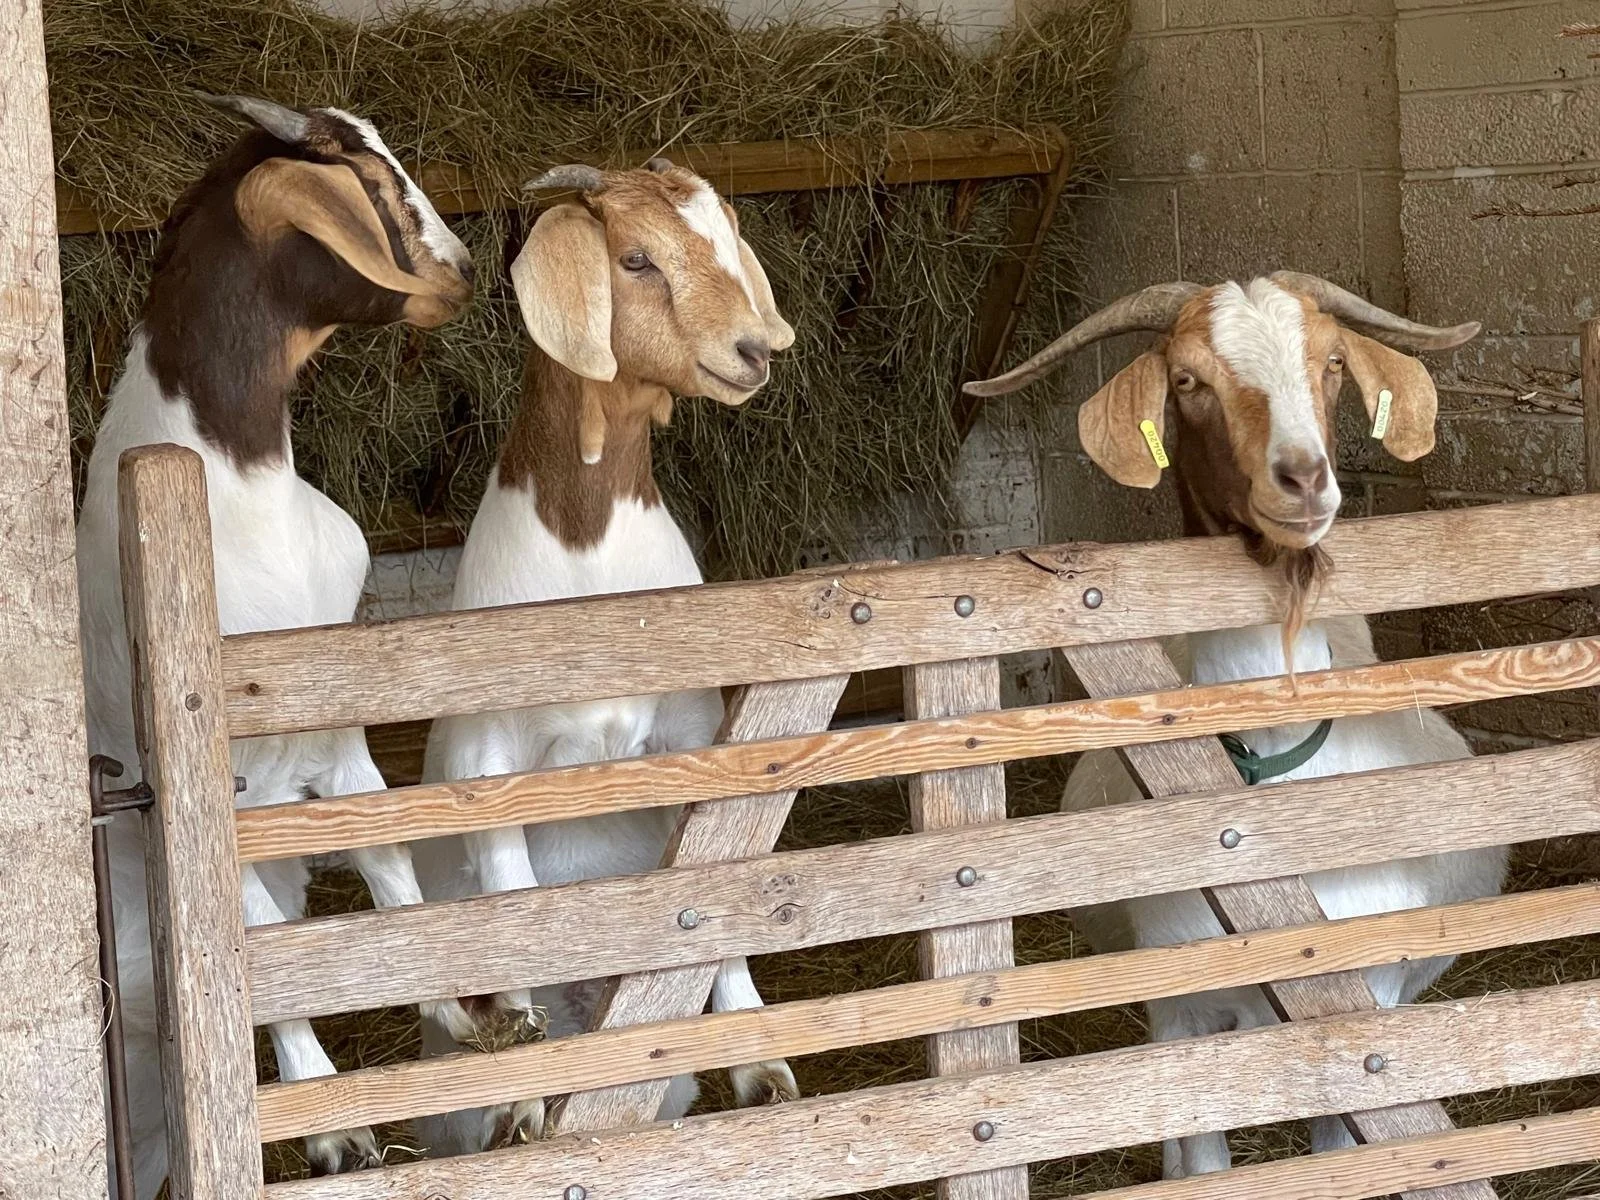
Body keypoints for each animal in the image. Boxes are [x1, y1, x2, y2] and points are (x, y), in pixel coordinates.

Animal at [75, 94, 476, 1195]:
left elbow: (385, 862)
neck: (240, 486)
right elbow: (252, 935)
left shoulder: (336, 738)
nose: (464, 269)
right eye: (369, 182)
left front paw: (462, 1012)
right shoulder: (211, 776)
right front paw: (332, 1120)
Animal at [411, 159, 796, 1153]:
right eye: (636, 259)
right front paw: (520, 1105)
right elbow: (510, 895)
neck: (585, 546)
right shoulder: (489, 759)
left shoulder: (688, 733)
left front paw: (762, 1068)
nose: (753, 350)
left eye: (724, 236)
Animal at [965, 273, 1508, 1179]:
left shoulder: (1361, 1012)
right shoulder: (1181, 1019)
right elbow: (1199, 1164)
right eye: (1187, 380)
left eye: (1332, 363)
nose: (1304, 479)